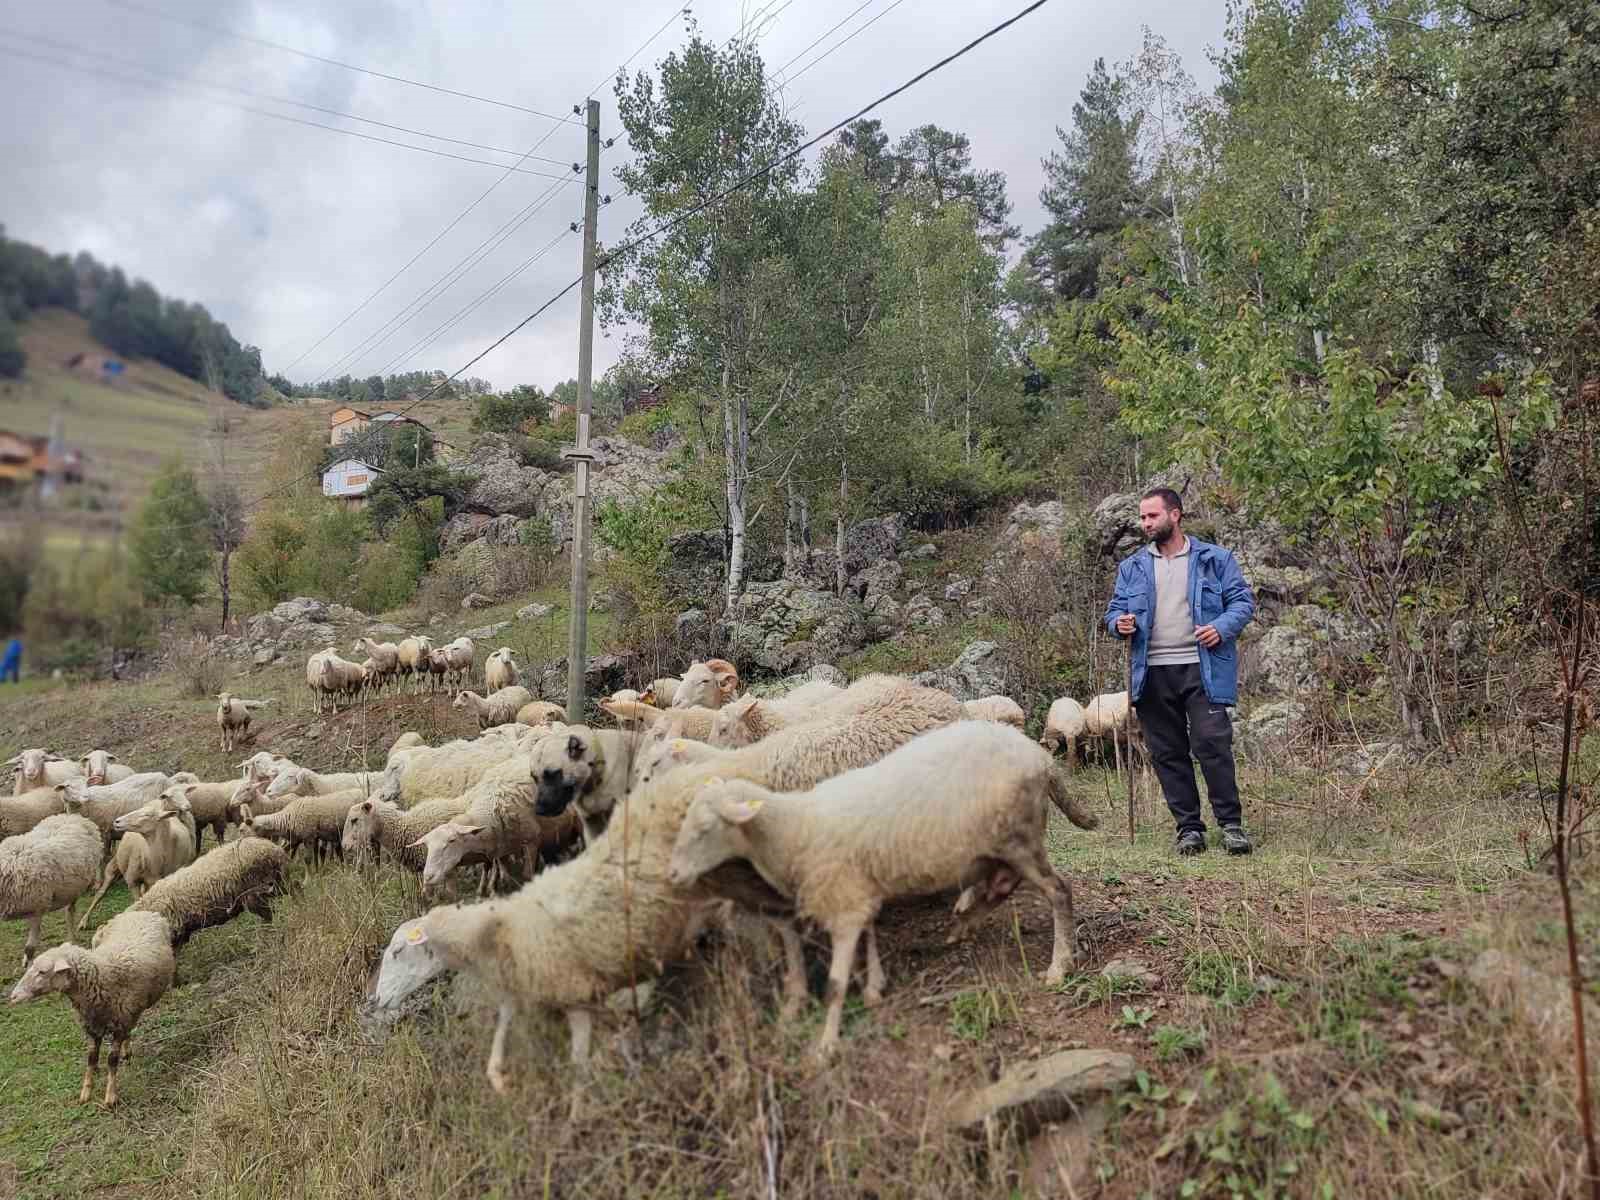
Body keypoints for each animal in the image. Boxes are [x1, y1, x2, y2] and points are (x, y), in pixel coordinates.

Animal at [0, 809, 103, 966]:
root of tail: (73, 816)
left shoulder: (37, 909)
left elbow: (30, 949)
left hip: (75, 888)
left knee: (70, 912)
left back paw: (71, 940)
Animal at [9, 908, 175, 1107]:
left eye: (42, 972)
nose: (13, 996)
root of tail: (141, 911)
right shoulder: (92, 1025)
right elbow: (91, 1058)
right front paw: (85, 1093)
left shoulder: (119, 1023)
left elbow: (112, 1060)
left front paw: (110, 1096)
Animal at [665, 720, 1100, 1056]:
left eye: (705, 829)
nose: (673, 874)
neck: (796, 829)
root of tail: (1041, 758)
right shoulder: (859, 892)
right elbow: (870, 933)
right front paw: (874, 987)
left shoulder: (843, 902)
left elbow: (837, 983)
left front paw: (826, 1045)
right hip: (998, 844)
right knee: (1003, 885)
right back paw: (962, 922)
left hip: (1018, 837)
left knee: (1058, 890)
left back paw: (1058, 965)